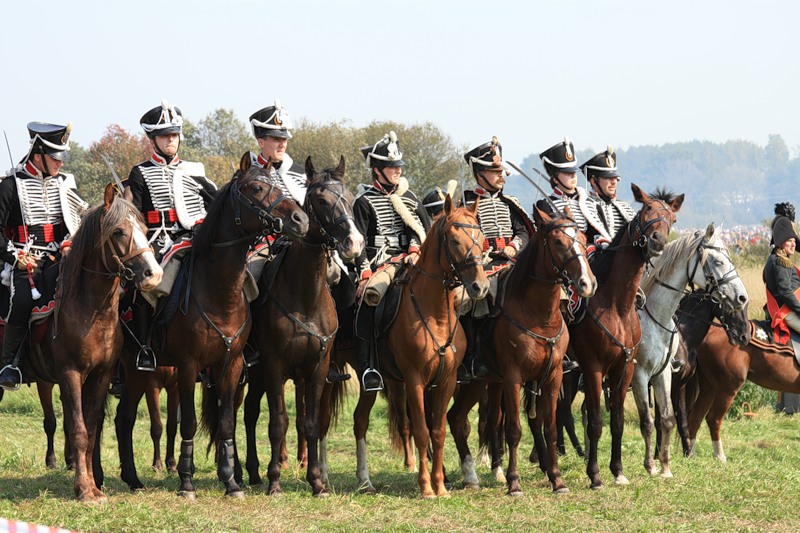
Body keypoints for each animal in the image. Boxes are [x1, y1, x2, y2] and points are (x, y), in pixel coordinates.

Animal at [0, 185, 164, 500]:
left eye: (144, 228)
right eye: (119, 232)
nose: (154, 275)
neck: (90, 310)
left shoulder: (101, 377)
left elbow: (89, 430)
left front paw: (92, 486)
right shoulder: (70, 374)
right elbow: (77, 428)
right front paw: (85, 490)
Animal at [155, 155, 308, 498]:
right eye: (256, 188)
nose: (300, 219)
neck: (218, 293)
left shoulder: (232, 365)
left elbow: (226, 422)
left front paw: (231, 482)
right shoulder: (187, 366)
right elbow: (188, 422)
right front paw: (186, 482)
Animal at [238, 156, 362, 496]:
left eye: (348, 197)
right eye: (321, 200)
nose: (354, 242)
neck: (305, 296)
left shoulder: (317, 368)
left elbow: (310, 422)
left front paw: (317, 481)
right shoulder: (274, 365)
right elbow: (277, 421)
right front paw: (275, 481)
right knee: (249, 413)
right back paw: (248, 471)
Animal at [446, 205, 596, 494]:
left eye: (583, 239)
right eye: (558, 242)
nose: (587, 283)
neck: (538, 315)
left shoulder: (553, 377)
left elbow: (550, 428)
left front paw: (557, 480)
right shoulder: (513, 377)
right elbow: (514, 429)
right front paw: (514, 482)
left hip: (476, 384)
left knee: (456, 418)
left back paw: (471, 477)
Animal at [568, 184, 680, 486]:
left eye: (672, 218)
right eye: (646, 210)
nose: (657, 241)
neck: (616, 305)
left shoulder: (626, 368)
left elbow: (617, 422)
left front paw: (618, 471)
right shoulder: (595, 367)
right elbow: (596, 422)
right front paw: (595, 475)